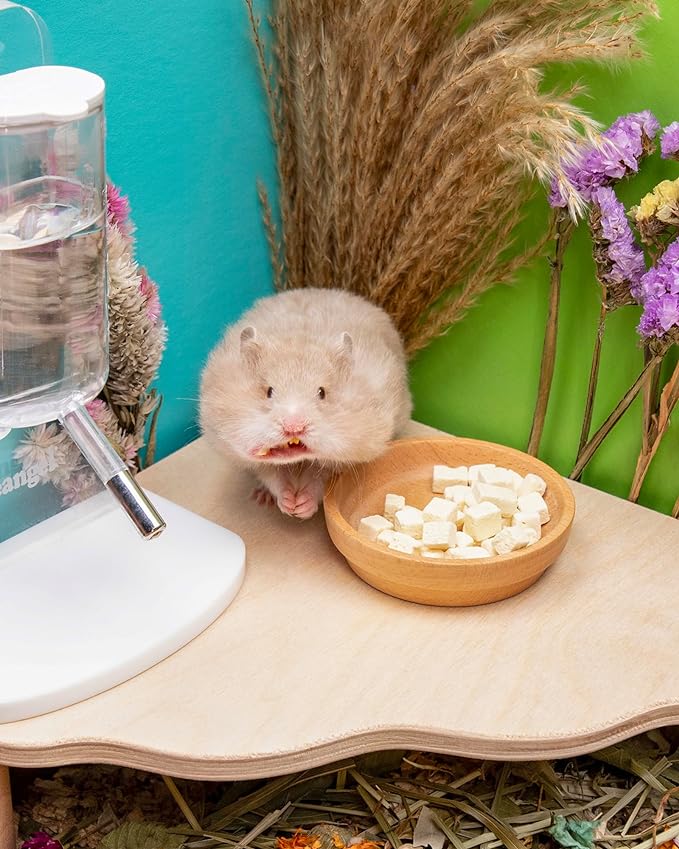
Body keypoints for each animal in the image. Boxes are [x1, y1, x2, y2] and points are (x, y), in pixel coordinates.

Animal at [199, 287, 412, 519]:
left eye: (321, 392)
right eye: (269, 391)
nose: (294, 427)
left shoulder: (346, 454)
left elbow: (321, 479)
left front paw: (300, 509)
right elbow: (272, 475)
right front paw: (287, 505)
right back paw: (261, 497)